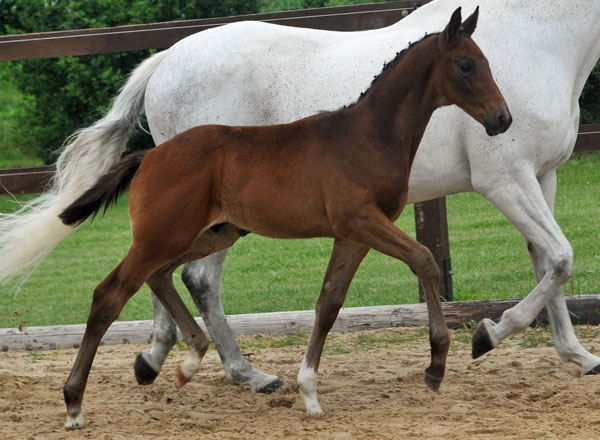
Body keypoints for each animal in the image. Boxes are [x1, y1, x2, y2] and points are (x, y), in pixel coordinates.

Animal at [59, 8, 510, 428]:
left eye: (486, 61)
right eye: (466, 65)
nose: (502, 118)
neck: (368, 135)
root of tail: (149, 155)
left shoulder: (352, 236)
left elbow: (329, 303)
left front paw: (309, 391)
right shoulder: (361, 221)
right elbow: (425, 261)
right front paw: (435, 366)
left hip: (210, 234)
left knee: (162, 276)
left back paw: (189, 362)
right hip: (163, 235)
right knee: (110, 293)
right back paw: (75, 402)